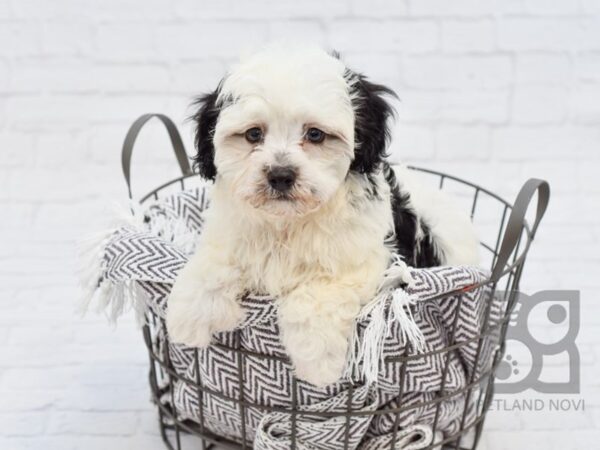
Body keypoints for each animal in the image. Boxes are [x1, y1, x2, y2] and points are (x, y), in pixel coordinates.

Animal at [166, 46, 480, 386]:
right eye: (253, 134)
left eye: (315, 134)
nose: (280, 175)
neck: (288, 222)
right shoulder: (232, 233)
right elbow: (215, 261)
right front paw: (188, 317)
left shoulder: (367, 258)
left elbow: (320, 291)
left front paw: (316, 360)